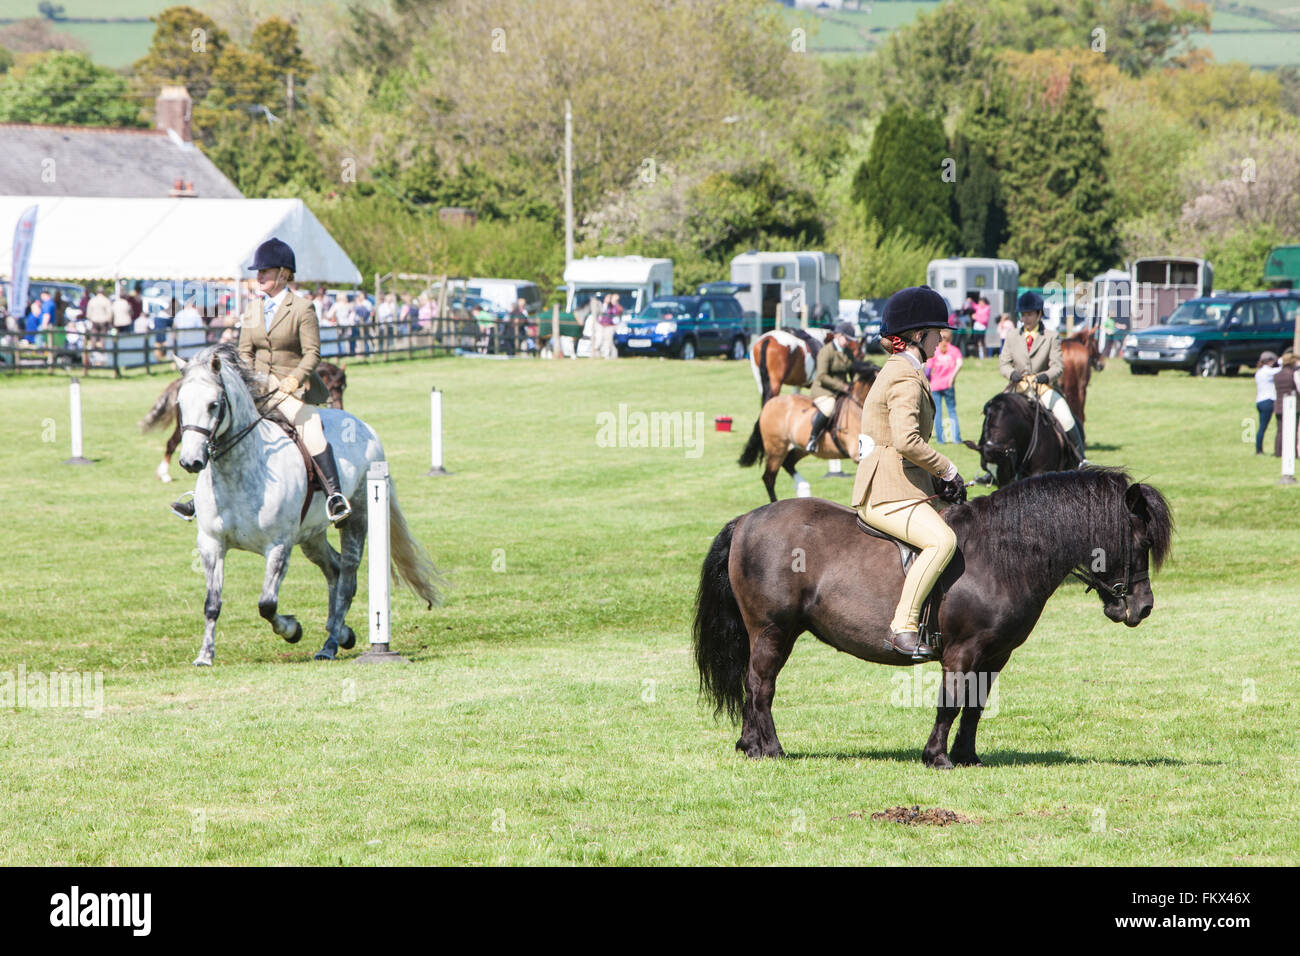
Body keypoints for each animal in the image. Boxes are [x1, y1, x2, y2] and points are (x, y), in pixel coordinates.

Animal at [178, 343, 441, 665]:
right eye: (180, 404)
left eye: (213, 405)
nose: (190, 462)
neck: (237, 471)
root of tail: (364, 427)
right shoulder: (211, 544)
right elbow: (212, 603)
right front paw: (205, 656)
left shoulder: (279, 546)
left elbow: (267, 603)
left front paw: (292, 630)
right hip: (311, 536)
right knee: (334, 568)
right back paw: (341, 632)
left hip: (356, 520)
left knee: (347, 579)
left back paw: (329, 645)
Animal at [696, 470, 1175, 770]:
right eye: (1140, 542)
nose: (1142, 607)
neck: (1002, 553)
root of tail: (747, 520)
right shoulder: (962, 651)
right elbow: (950, 701)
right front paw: (937, 757)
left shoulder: (995, 655)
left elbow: (975, 706)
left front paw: (968, 756)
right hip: (773, 631)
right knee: (760, 685)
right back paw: (771, 749)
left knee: (751, 684)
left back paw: (749, 745)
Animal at [738, 361, 878, 504]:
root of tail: (768, 405)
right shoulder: (857, 454)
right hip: (776, 449)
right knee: (769, 477)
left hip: (800, 448)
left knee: (788, 463)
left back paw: (803, 490)